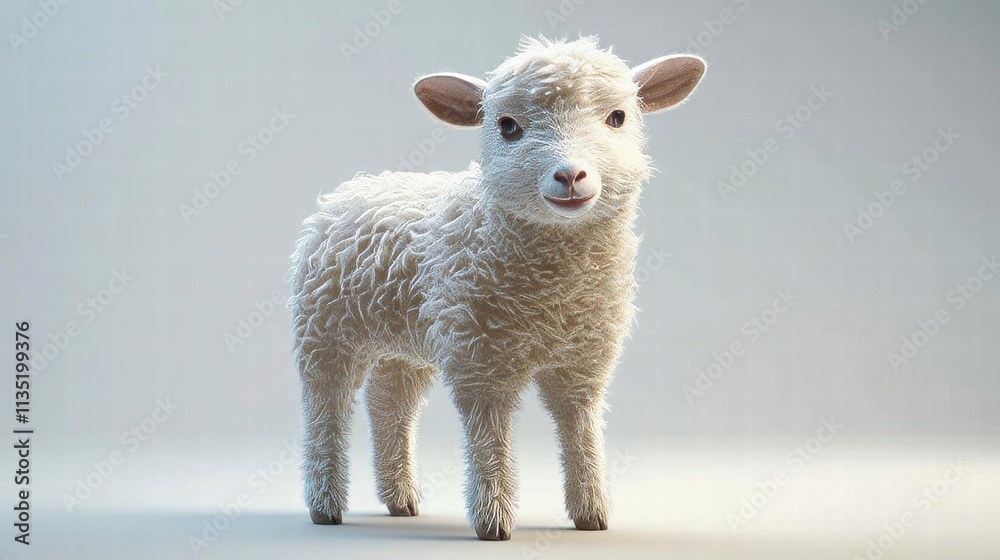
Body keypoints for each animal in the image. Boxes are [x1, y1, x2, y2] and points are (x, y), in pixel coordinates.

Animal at [288, 35, 705, 541]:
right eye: (507, 126)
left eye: (618, 117)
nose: (570, 176)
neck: (554, 294)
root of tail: (349, 190)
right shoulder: (480, 358)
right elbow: (489, 432)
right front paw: (493, 520)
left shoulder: (584, 358)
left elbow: (579, 425)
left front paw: (592, 514)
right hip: (325, 331)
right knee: (326, 407)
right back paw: (325, 504)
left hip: (403, 342)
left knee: (391, 403)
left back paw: (400, 499)